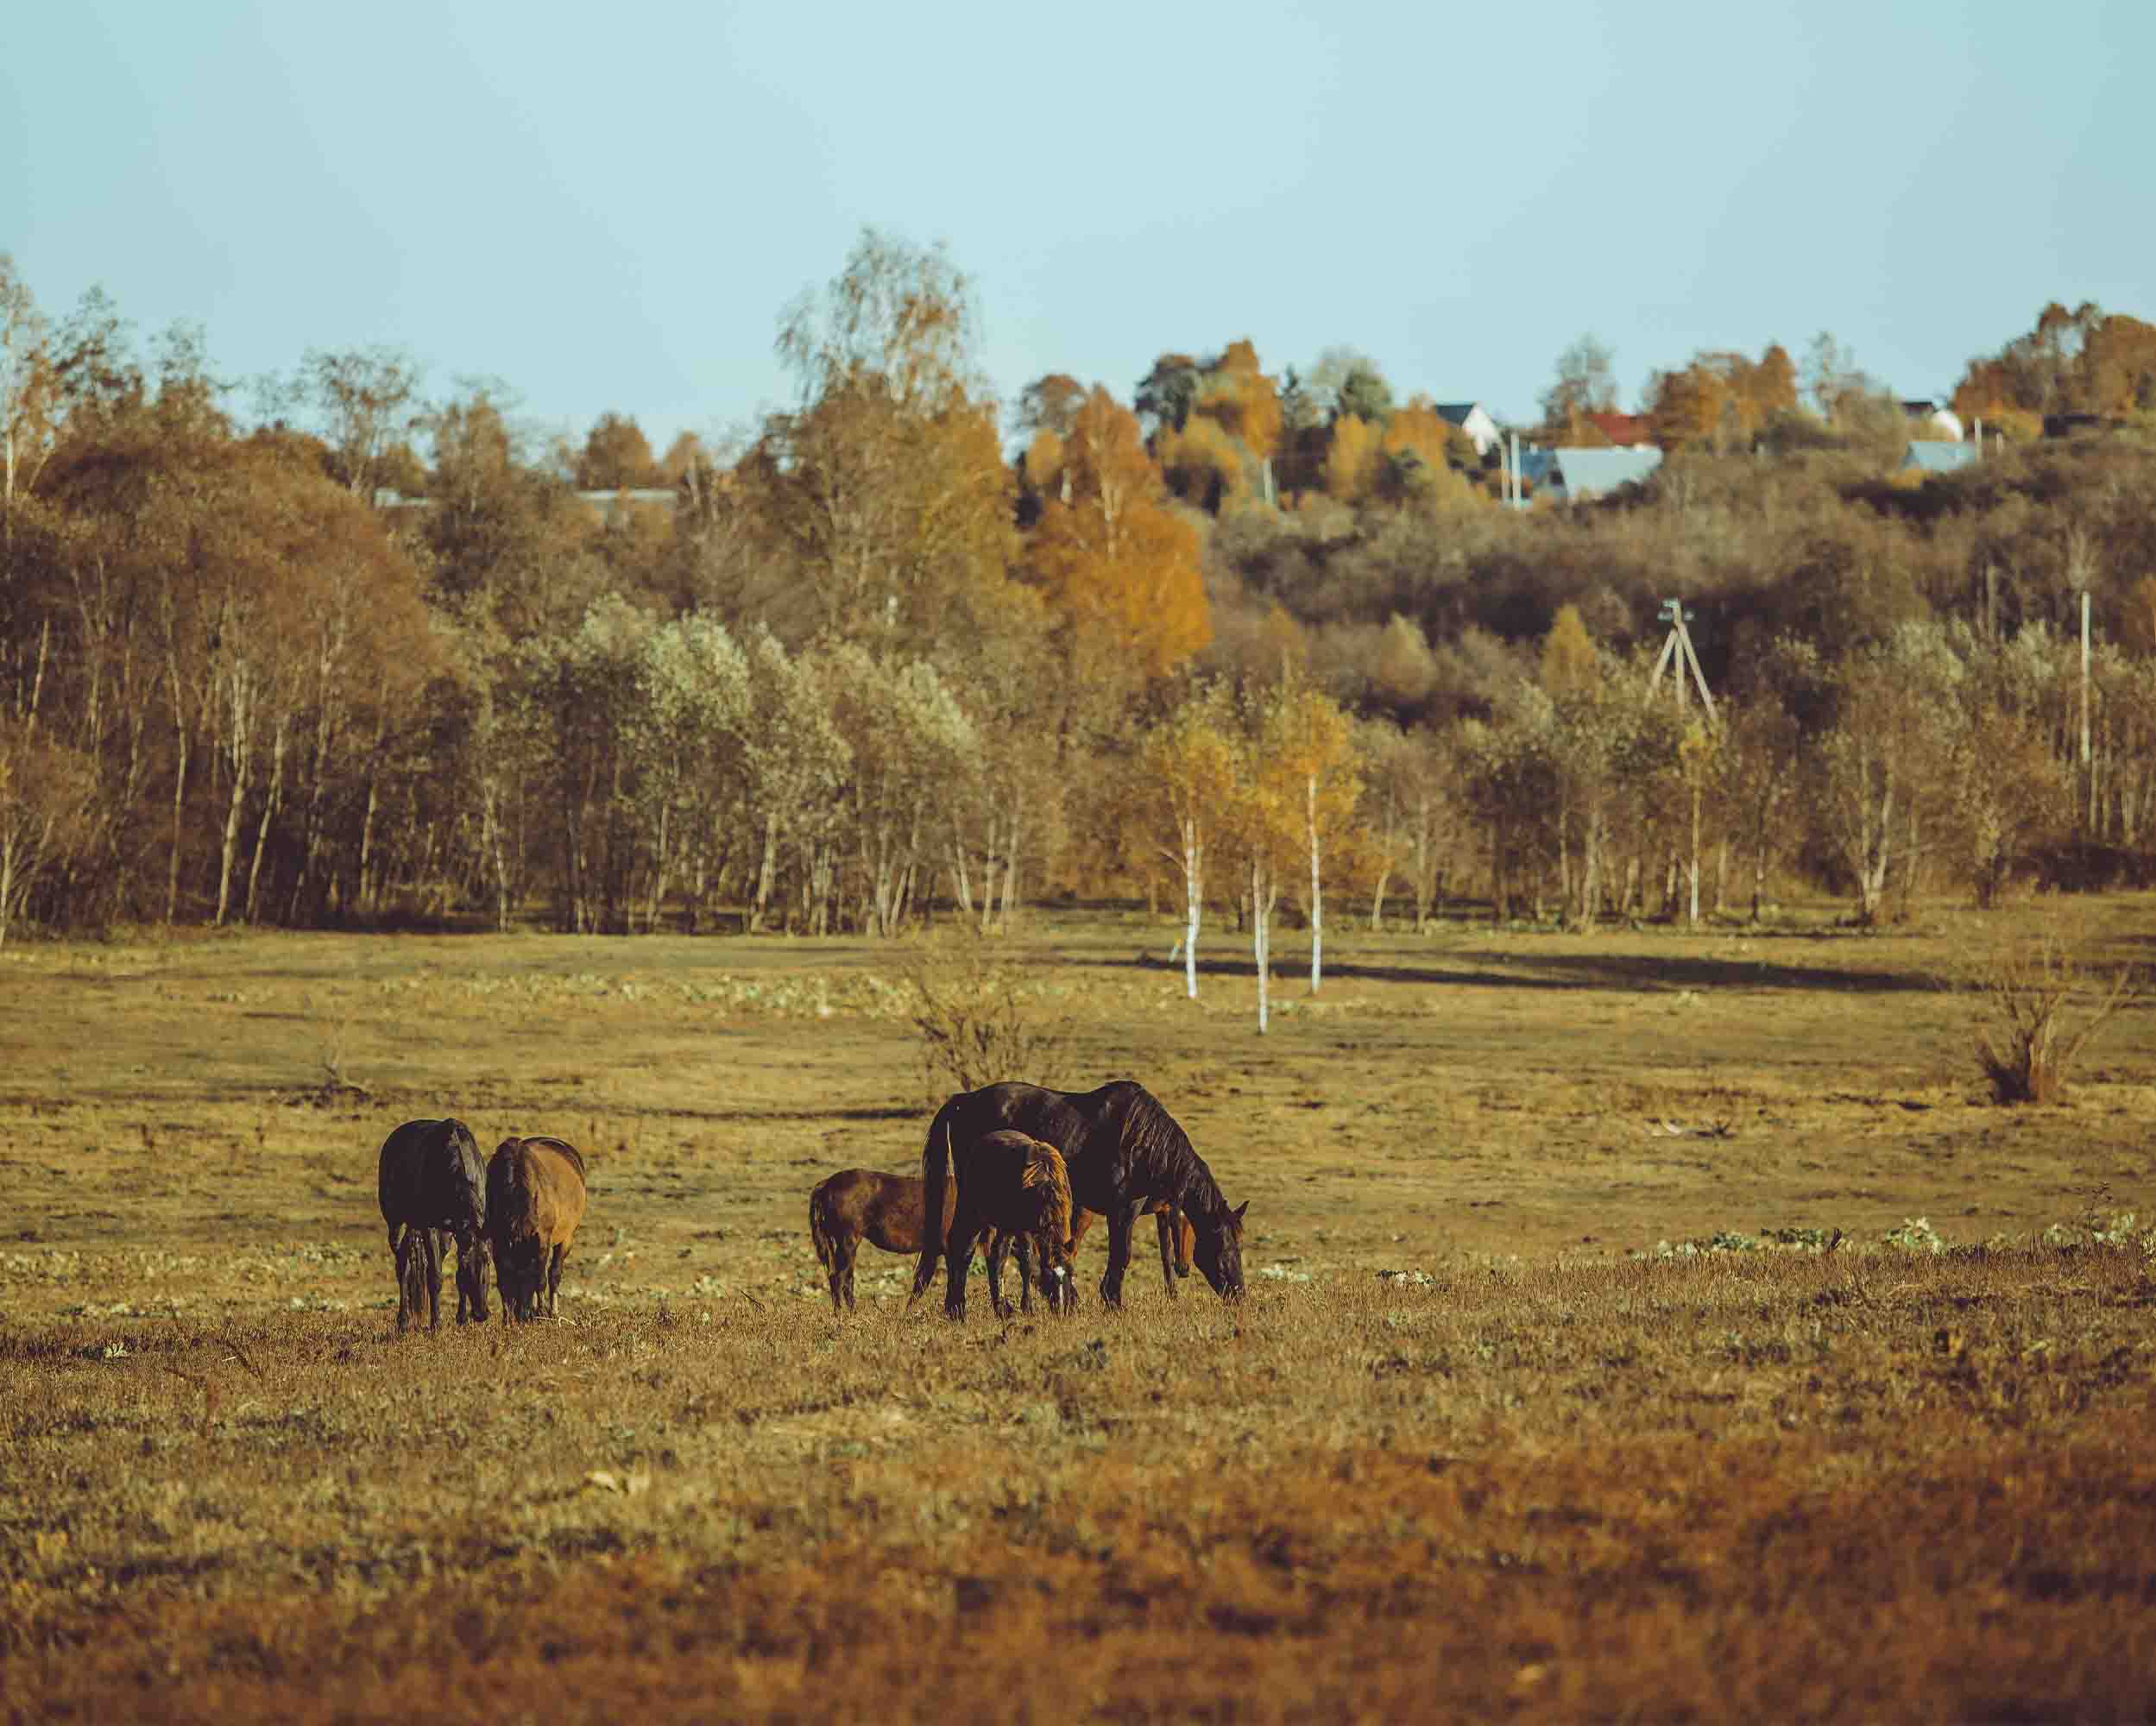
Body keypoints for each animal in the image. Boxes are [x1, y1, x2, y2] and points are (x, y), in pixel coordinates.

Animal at [376, 1118, 490, 1332]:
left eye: (487, 1261)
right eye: (467, 1265)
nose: (481, 1314)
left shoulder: (454, 1232)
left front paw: (461, 1318)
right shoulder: (429, 1227)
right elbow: (435, 1276)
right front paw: (436, 1324)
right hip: (396, 1224)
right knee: (402, 1265)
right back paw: (403, 1320)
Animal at [485, 1136, 587, 1322]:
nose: (521, 1316)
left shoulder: (541, 1241)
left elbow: (541, 1280)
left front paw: (541, 1314)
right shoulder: (499, 1243)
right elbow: (503, 1281)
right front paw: (507, 1320)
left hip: (566, 1238)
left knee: (554, 1274)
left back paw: (552, 1313)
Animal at [808, 1168, 1058, 1316]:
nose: (1061, 1306)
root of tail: (826, 1184)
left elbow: (925, 1282)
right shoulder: (952, 1249)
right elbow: (950, 1279)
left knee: (842, 1278)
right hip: (848, 1242)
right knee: (839, 1278)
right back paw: (843, 1314)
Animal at [909, 1080, 1246, 1320]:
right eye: (1223, 1247)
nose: (1240, 1295)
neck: (1143, 1141)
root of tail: (964, 1100)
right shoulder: (1123, 1210)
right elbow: (1121, 1255)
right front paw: (1113, 1303)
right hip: (974, 1202)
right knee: (961, 1245)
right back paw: (957, 1310)